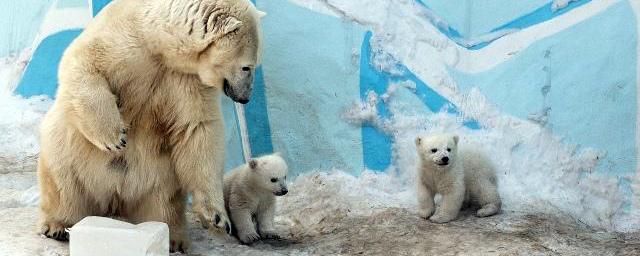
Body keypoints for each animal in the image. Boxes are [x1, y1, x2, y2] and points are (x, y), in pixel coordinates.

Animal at [37, 0, 264, 252]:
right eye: (247, 67)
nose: (245, 98)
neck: (159, 43)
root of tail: (114, 200)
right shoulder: (124, 42)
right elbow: (84, 63)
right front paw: (114, 137)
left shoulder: (187, 79)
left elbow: (198, 129)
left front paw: (217, 218)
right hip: (68, 153)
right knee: (64, 183)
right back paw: (58, 226)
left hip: (160, 176)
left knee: (163, 204)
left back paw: (173, 239)